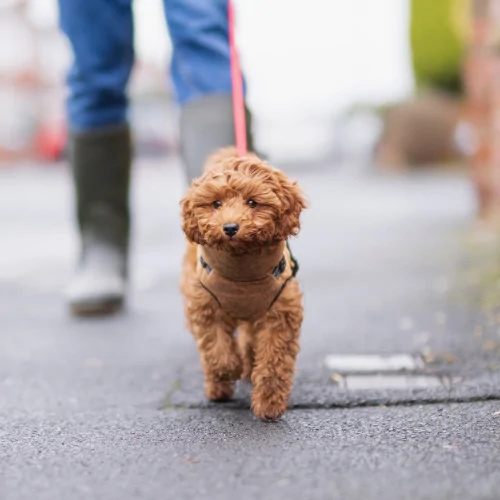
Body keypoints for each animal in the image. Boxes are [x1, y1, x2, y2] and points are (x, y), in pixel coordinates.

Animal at [180, 146, 304, 420]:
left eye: (252, 202)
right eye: (216, 203)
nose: (230, 227)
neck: (242, 273)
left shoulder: (280, 312)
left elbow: (274, 361)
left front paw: (269, 405)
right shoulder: (206, 306)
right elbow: (217, 351)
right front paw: (229, 370)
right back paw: (218, 389)